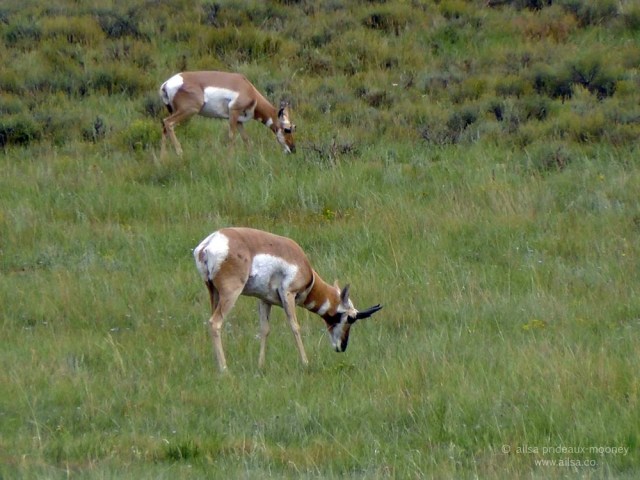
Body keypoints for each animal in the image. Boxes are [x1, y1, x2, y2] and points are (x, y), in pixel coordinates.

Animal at [159, 71, 296, 157]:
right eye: (287, 129)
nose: (293, 149)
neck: (248, 89)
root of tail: (166, 84)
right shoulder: (233, 114)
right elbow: (231, 136)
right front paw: (229, 158)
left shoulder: (239, 121)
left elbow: (246, 138)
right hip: (189, 110)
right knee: (168, 123)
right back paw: (180, 153)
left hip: (174, 111)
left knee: (164, 126)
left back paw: (162, 159)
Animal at [193, 227, 382, 372]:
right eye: (350, 318)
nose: (342, 347)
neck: (305, 268)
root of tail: (209, 243)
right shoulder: (288, 294)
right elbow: (295, 327)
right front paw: (305, 362)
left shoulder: (264, 300)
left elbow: (264, 329)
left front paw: (260, 365)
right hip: (230, 293)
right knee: (215, 322)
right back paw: (224, 369)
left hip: (214, 293)